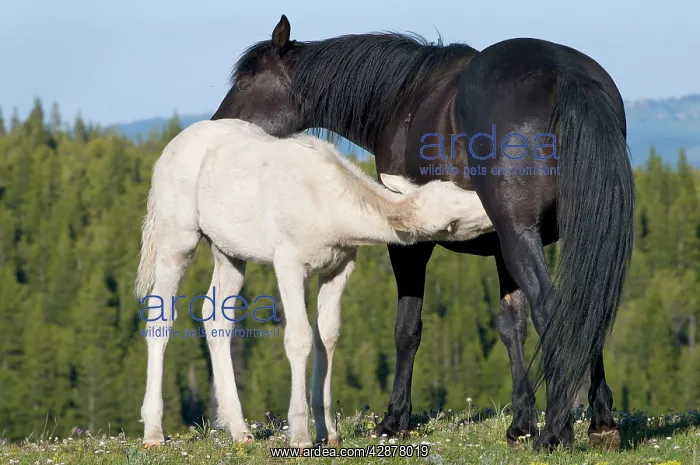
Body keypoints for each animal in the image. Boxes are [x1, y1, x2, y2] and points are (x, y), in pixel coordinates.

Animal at [134, 118, 495, 448]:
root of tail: (166, 152)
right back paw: (154, 432)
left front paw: (328, 432)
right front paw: (301, 435)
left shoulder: (339, 267)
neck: (328, 207)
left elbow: (328, 336)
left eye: (460, 191)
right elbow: (299, 338)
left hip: (228, 252)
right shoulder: (289, 264)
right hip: (176, 238)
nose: (493, 211)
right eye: (454, 221)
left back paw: (239, 430)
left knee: (217, 321)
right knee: (160, 318)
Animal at [210, 15, 635, 450]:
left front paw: (394, 419)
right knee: (588, 307)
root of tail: (565, 75)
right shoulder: (503, 249)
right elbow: (510, 325)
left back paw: (555, 431)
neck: (404, 97)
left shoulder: (413, 245)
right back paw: (600, 421)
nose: (216, 126)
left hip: (521, 238)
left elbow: (407, 328)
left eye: (247, 80)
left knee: (553, 310)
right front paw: (520, 422)